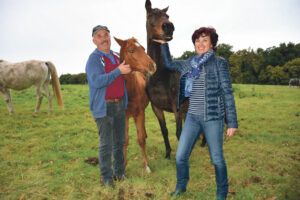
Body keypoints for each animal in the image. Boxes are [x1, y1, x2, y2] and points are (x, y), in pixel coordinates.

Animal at [114, 36, 157, 173]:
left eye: (143, 48)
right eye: (132, 50)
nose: (153, 65)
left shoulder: (140, 113)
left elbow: (141, 139)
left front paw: (146, 165)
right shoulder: (124, 116)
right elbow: (125, 140)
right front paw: (123, 166)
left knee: (142, 131)